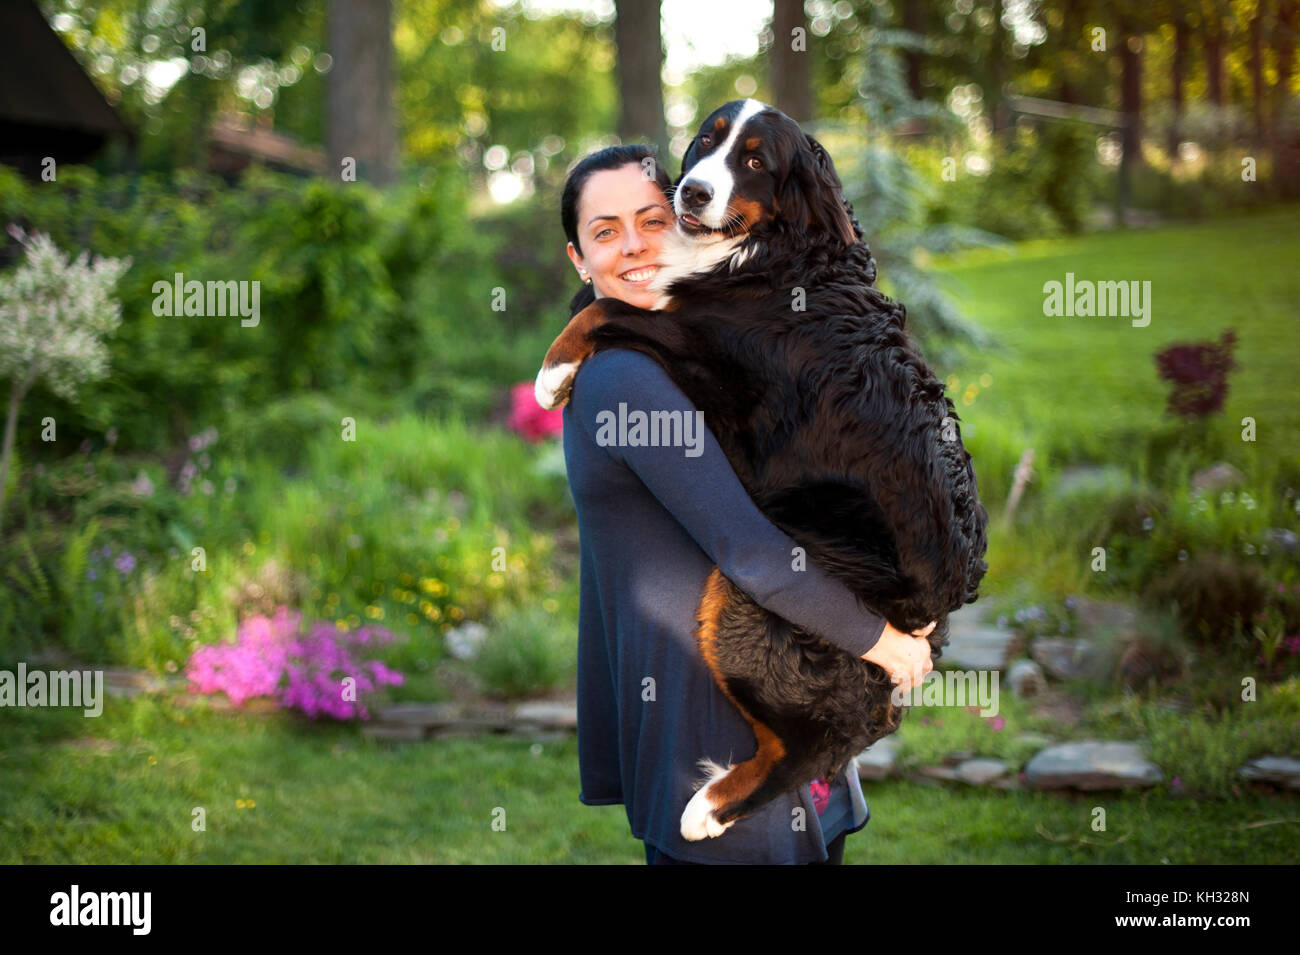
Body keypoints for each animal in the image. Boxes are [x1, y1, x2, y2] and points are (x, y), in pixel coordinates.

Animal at [533, 100, 987, 841]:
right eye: (705, 142)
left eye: (753, 161)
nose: (692, 192)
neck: (770, 256)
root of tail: (947, 597)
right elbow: (611, 300)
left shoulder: (713, 383)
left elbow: (614, 307)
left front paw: (553, 369)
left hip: (746, 599)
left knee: (817, 740)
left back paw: (709, 808)